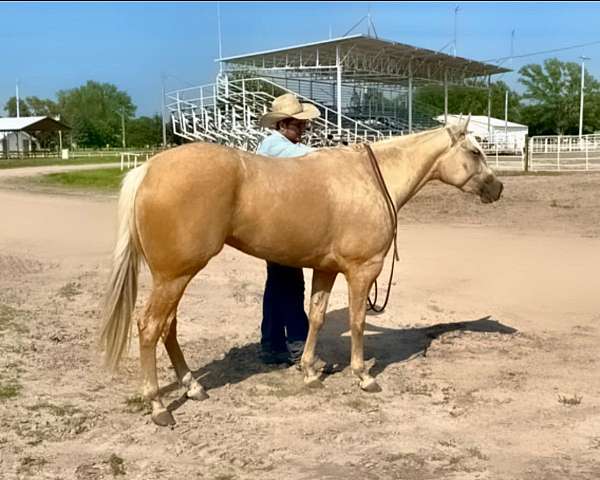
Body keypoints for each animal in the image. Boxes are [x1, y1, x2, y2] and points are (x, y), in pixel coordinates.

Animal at [99, 118, 502, 426]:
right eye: (475, 152)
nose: (497, 188)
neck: (372, 181)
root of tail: (148, 169)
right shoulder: (362, 270)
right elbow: (357, 321)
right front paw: (363, 376)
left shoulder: (326, 270)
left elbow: (317, 318)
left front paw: (309, 371)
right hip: (174, 275)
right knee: (150, 328)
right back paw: (158, 405)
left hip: (175, 276)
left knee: (168, 327)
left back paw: (193, 387)